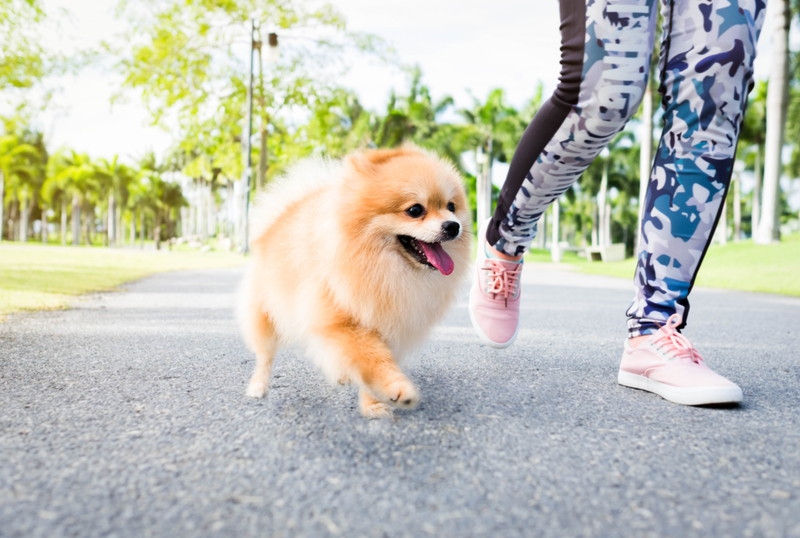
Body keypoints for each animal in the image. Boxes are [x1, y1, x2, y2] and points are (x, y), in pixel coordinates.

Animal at [238, 144, 476, 416]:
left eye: (451, 206)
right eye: (415, 210)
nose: (453, 226)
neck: (383, 268)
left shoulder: (391, 322)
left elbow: (370, 364)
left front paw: (373, 403)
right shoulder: (343, 323)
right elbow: (373, 359)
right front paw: (398, 389)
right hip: (265, 315)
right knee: (264, 356)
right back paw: (258, 387)